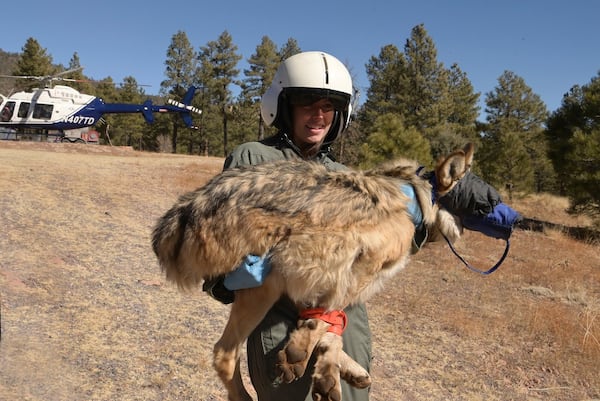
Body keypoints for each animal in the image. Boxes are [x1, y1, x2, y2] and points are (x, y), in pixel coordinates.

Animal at [152, 142, 480, 398]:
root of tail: (183, 209)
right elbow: (329, 312)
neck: (413, 198)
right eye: (473, 202)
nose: (470, 231)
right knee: (223, 353)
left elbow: (329, 319)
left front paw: (328, 369)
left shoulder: (313, 274)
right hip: (264, 282)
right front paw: (304, 354)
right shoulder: (345, 261)